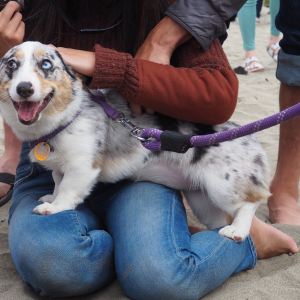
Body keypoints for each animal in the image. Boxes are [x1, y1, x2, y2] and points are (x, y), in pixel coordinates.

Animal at [0, 41, 272, 241]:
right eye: (11, 65)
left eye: (46, 64)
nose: (24, 89)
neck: (65, 117)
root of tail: (252, 140)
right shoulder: (60, 167)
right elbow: (58, 183)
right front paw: (50, 197)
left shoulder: (82, 166)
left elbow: (68, 190)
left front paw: (54, 208)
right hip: (202, 200)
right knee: (217, 220)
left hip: (222, 187)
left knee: (251, 202)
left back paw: (237, 231)